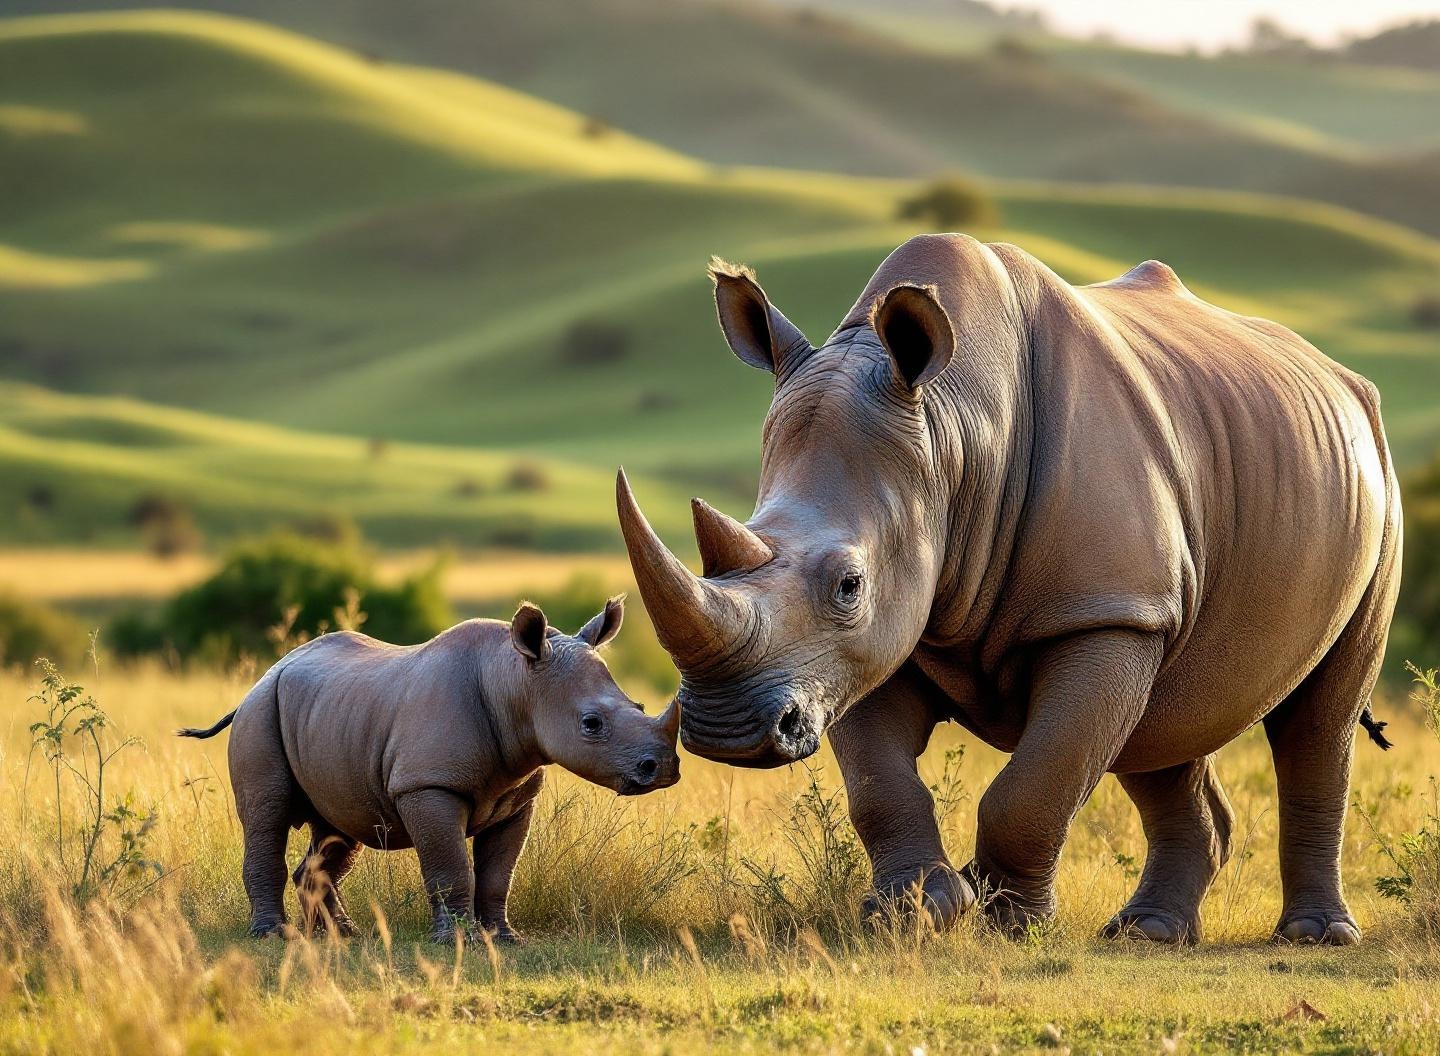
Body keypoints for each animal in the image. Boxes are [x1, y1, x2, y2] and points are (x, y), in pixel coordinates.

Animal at [180, 598, 679, 942]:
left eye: (639, 706)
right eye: (591, 725)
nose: (663, 769)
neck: (515, 683)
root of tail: (264, 675)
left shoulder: (518, 796)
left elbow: (499, 872)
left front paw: (504, 938)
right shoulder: (426, 786)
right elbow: (451, 865)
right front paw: (459, 941)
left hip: (330, 718)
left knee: (339, 829)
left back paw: (342, 934)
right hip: (261, 711)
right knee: (268, 814)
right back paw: (273, 936)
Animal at [617, 234, 1401, 945]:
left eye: (848, 584)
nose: (724, 731)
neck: (952, 435)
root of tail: (1340, 378)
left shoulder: (1100, 613)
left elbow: (1038, 782)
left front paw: (1008, 923)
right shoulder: (862, 649)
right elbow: (880, 788)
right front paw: (915, 914)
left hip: (1373, 475)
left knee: (1318, 719)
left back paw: (1315, 935)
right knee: (1163, 720)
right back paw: (1148, 933)